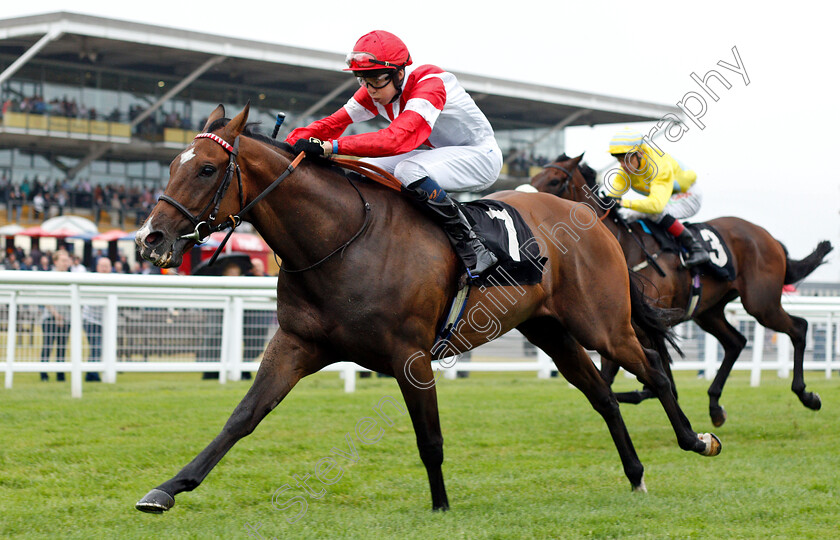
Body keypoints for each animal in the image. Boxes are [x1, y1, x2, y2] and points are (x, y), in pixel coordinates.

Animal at [135, 105, 720, 516]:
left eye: (207, 168)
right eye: (173, 165)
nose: (149, 238)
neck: (343, 239)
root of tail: (593, 218)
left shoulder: (409, 354)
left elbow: (429, 437)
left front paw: (440, 506)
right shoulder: (297, 343)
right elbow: (242, 417)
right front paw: (166, 489)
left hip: (601, 324)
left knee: (653, 369)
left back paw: (698, 439)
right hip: (550, 329)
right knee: (602, 395)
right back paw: (636, 473)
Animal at [532, 153, 832, 426]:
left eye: (555, 180)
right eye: (535, 179)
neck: (618, 246)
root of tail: (768, 237)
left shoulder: (632, 327)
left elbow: (633, 379)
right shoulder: (632, 327)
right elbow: (645, 380)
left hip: (761, 304)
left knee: (799, 328)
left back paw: (807, 395)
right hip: (709, 311)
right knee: (736, 342)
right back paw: (715, 406)